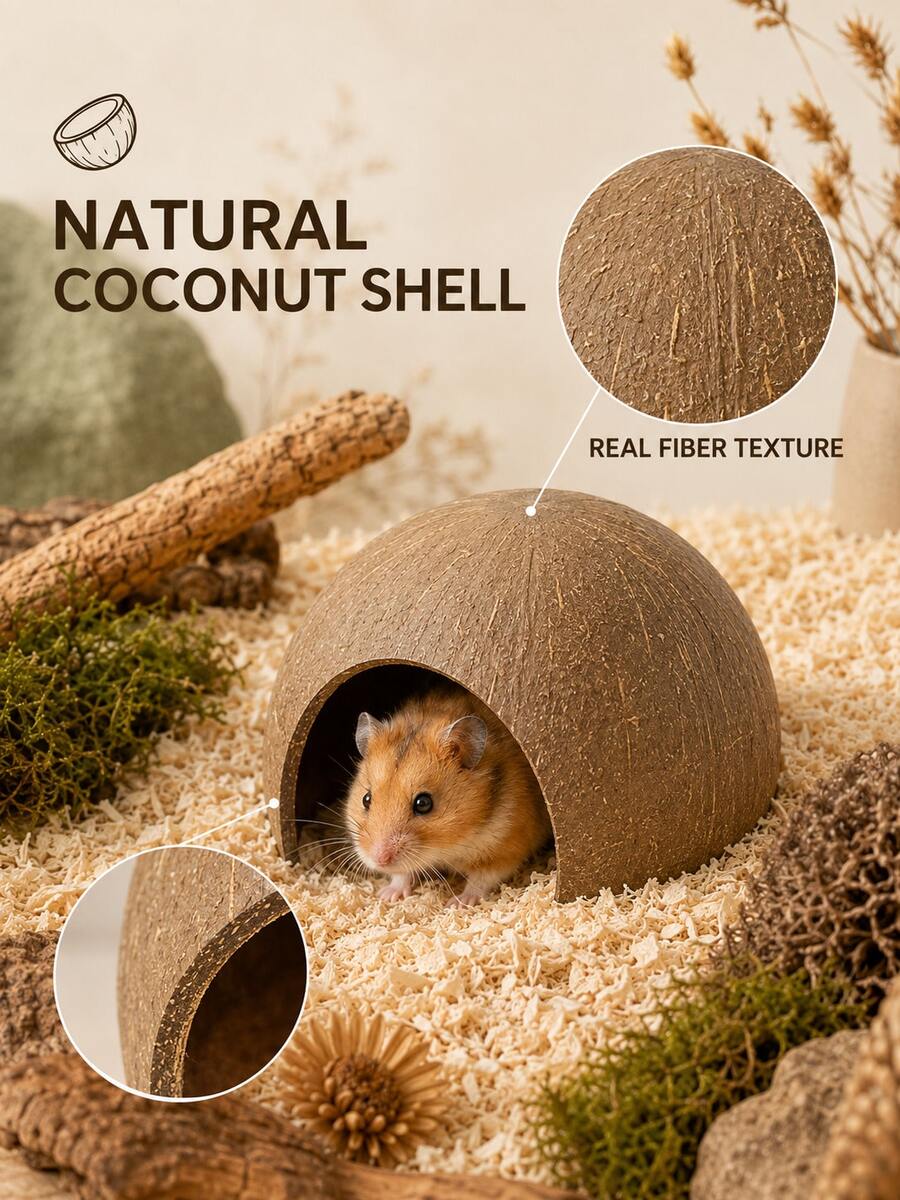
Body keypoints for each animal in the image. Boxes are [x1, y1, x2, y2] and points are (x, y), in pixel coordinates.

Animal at [344, 684, 552, 904]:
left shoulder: (508, 847)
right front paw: (387, 896)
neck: (451, 845)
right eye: (366, 799)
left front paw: (458, 903)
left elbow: (482, 879)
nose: (380, 860)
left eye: (423, 803)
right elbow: (402, 874)